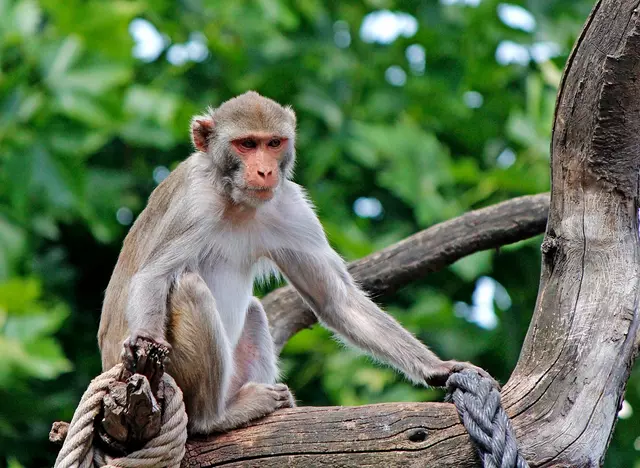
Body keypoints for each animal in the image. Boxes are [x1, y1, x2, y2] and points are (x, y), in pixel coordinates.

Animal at [97, 90, 492, 436]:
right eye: (246, 144)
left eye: (273, 143)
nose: (264, 171)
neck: (233, 199)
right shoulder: (195, 203)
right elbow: (154, 275)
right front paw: (144, 339)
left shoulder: (289, 206)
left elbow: (334, 298)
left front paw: (438, 368)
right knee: (188, 287)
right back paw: (214, 418)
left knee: (253, 310)